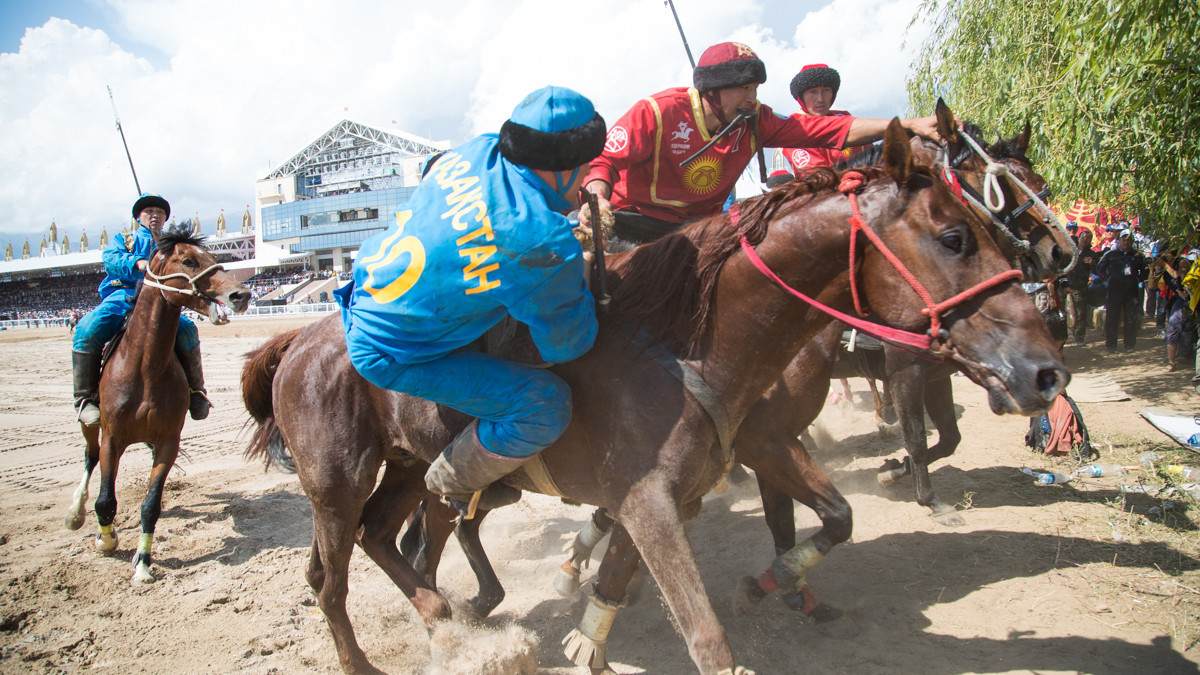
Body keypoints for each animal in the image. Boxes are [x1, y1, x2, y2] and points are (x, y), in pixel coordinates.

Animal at [63, 228, 250, 581]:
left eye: (213, 257)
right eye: (188, 261)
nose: (241, 295)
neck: (144, 369)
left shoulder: (167, 441)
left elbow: (151, 504)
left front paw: (143, 562)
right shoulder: (112, 438)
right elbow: (105, 499)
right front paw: (106, 539)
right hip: (90, 423)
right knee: (89, 456)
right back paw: (75, 512)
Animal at [243, 120, 1070, 672]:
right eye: (957, 234)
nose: (1046, 370)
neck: (684, 344)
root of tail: (299, 340)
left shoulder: (692, 484)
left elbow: (630, 581)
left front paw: (776, 580)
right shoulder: (658, 497)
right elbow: (706, 635)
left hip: (409, 467)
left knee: (389, 538)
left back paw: (448, 618)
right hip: (338, 484)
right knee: (332, 578)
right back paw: (392, 646)